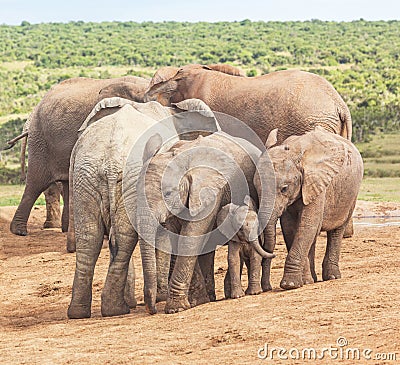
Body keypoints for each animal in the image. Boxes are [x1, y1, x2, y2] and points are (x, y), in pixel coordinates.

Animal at [255, 126, 364, 292]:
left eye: (284, 189)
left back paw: (332, 277)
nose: (267, 288)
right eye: (255, 188)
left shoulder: (317, 182)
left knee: (337, 231)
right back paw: (311, 280)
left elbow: (307, 225)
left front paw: (290, 285)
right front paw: (303, 282)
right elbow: (290, 228)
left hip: (352, 193)